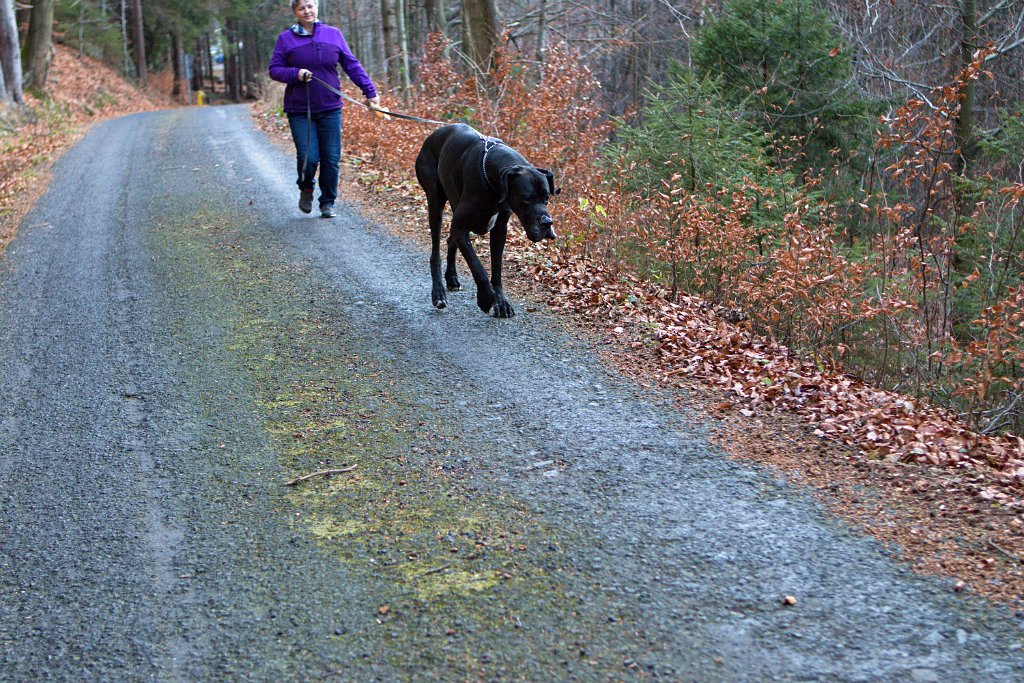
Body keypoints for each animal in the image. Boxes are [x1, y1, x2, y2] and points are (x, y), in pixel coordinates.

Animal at [413, 122, 561, 317]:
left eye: (546, 198)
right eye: (526, 199)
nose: (547, 223)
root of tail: (432, 135)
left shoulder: (499, 229)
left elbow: (496, 269)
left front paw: (501, 302)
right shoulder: (461, 227)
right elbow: (477, 266)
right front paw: (485, 298)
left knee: (450, 240)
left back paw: (452, 278)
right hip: (435, 202)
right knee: (435, 252)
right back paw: (438, 293)